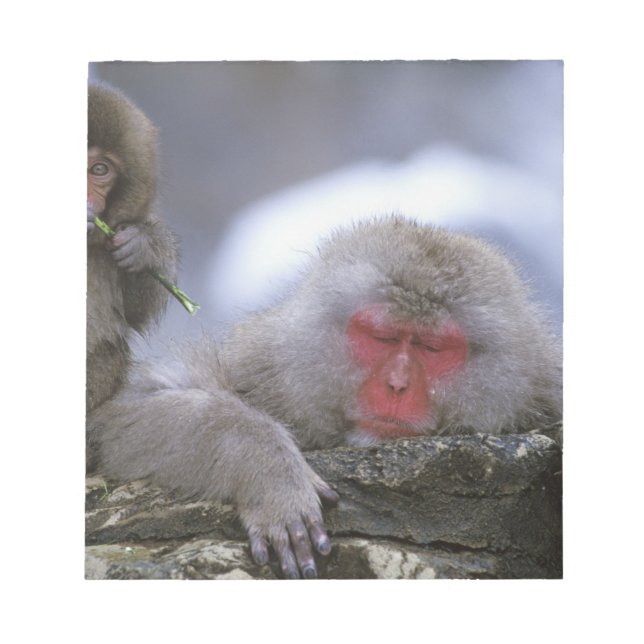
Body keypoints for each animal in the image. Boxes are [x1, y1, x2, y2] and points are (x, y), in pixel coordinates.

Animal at [88, 216, 562, 579]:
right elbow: (123, 415)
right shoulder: (263, 369)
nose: (397, 386)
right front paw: (270, 473)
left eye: (432, 348)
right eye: (382, 336)